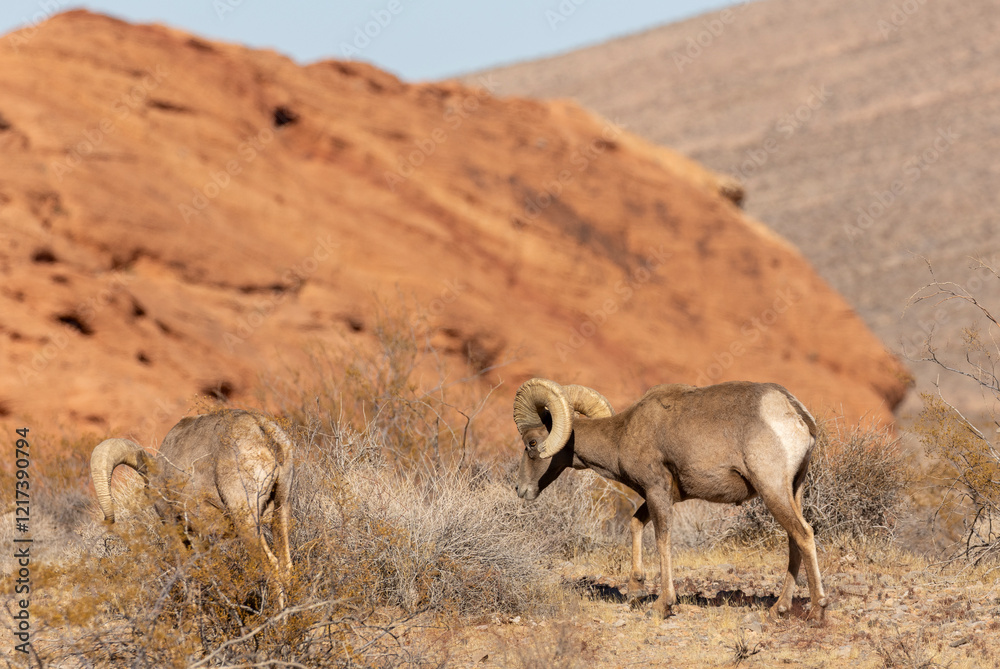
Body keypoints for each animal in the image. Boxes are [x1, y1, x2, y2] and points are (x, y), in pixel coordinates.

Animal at [90, 409, 293, 608]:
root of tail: (262, 430)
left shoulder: (176, 528)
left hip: (246, 520)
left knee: (272, 566)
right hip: (280, 509)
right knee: (286, 566)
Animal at [513, 378, 828, 621]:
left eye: (531, 443)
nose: (521, 490)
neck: (623, 433)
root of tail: (796, 413)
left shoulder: (656, 490)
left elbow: (662, 539)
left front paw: (662, 605)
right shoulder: (663, 495)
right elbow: (636, 524)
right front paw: (635, 590)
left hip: (772, 489)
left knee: (803, 534)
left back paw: (817, 611)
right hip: (793, 490)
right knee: (794, 540)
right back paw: (779, 609)